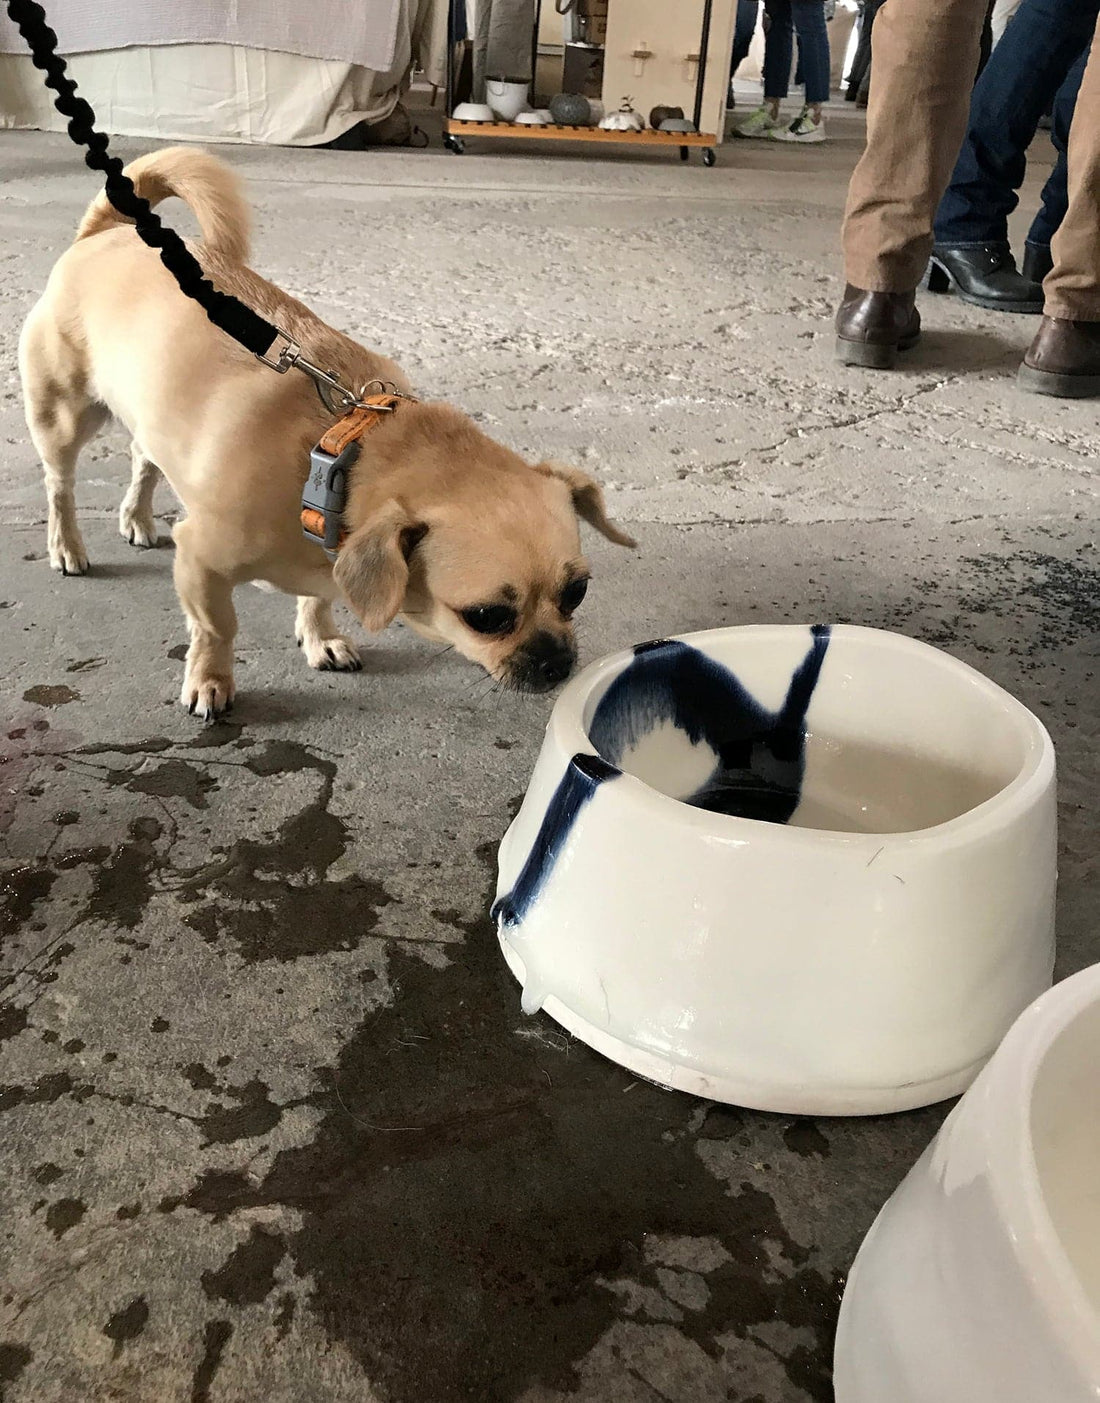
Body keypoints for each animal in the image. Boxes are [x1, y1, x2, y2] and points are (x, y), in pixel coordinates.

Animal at [19, 149, 636, 718]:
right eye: (486, 617)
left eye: (577, 593)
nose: (559, 662)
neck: (338, 455)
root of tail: (110, 231)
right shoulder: (200, 561)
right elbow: (217, 627)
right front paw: (210, 679)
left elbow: (316, 596)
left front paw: (319, 635)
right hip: (65, 416)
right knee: (60, 484)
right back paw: (67, 545)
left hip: (148, 414)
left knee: (142, 456)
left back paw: (137, 517)